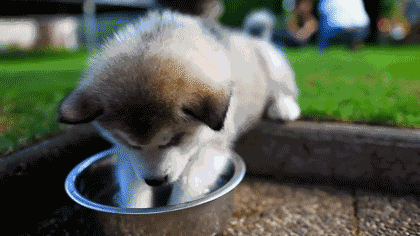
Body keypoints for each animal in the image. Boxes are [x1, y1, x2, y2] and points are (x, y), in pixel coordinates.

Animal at [57, 9, 298, 205]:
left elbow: (188, 183)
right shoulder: (126, 155)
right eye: (131, 144)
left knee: (282, 89)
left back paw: (283, 108)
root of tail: (253, 36)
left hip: (274, 64)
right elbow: (133, 188)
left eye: (175, 140)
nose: (155, 181)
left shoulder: (213, 146)